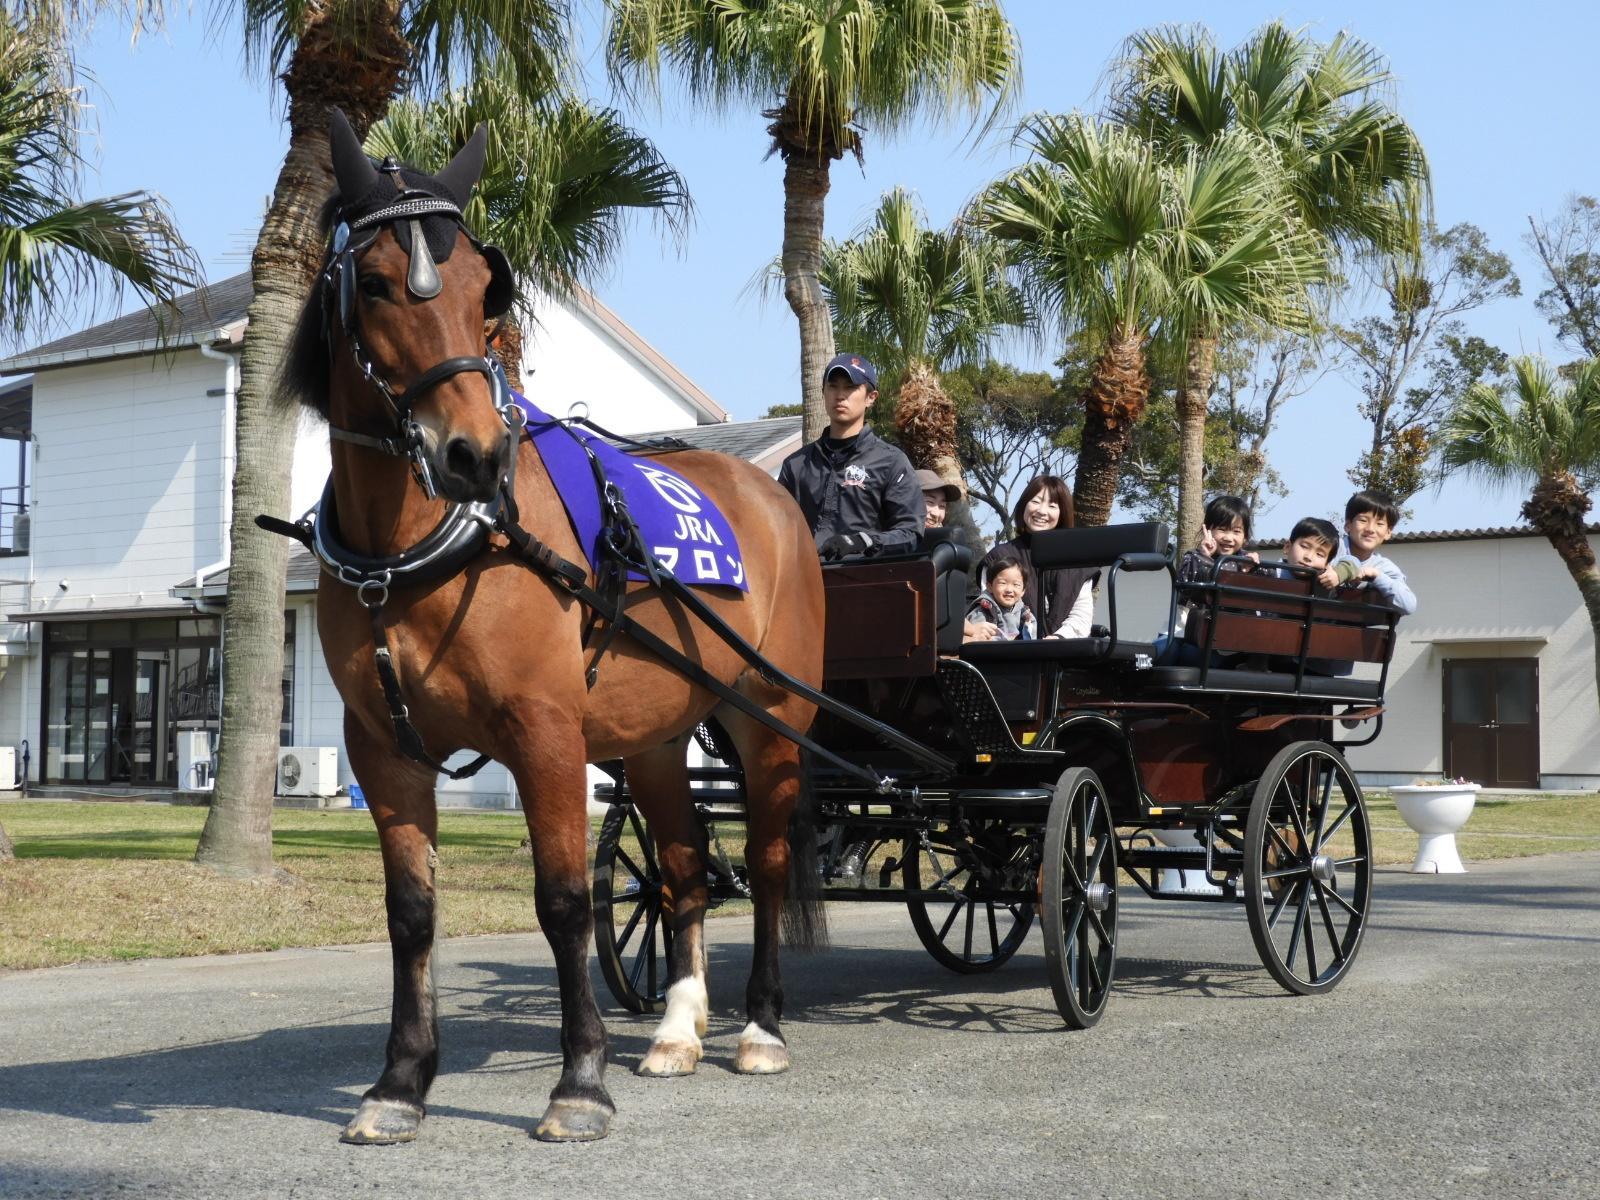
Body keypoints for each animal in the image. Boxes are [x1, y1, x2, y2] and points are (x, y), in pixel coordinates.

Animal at [278, 111, 827, 1144]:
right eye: (377, 283)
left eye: (477, 286)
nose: (473, 454)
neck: (426, 547)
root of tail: (773, 494)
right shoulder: (382, 747)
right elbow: (411, 912)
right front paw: (400, 1082)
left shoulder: (545, 732)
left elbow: (566, 902)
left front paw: (580, 1081)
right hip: (653, 738)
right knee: (684, 869)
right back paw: (678, 1029)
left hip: (769, 716)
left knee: (770, 865)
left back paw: (763, 1028)